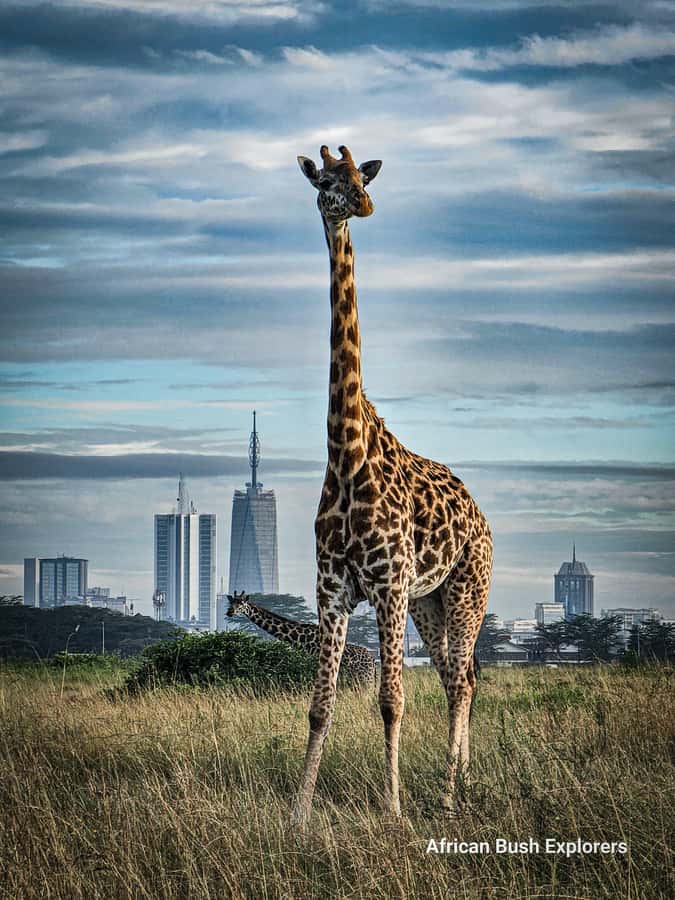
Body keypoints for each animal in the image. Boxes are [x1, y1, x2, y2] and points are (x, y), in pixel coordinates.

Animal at [226, 592, 376, 686]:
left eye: (241, 604)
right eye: (231, 603)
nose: (229, 612)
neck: (303, 640)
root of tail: (373, 660)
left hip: (365, 681)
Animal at [292, 144, 493, 826]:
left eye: (360, 174)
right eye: (325, 180)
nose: (363, 203)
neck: (345, 453)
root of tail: (483, 519)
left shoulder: (386, 585)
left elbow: (390, 700)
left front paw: (392, 810)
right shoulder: (331, 590)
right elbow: (320, 705)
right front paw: (298, 814)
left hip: (465, 589)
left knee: (462, 678)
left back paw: (453, 793)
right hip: (429, 601)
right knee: (460, 676)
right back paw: (457, 781)